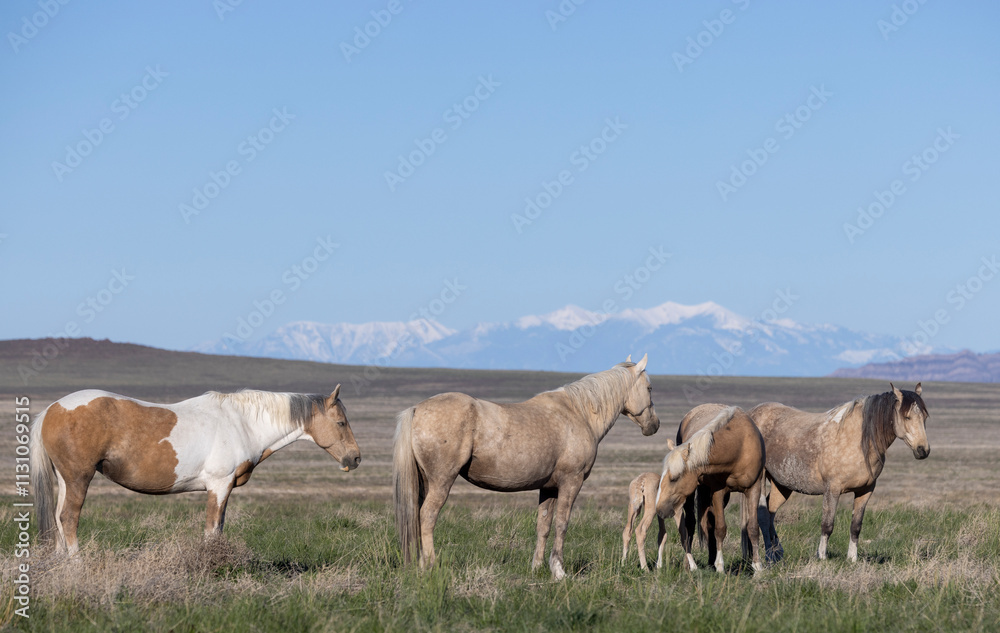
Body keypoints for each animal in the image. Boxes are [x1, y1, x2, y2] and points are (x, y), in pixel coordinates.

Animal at [30, 385, 361, 555]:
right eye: (341, 422)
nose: (355, 458)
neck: (241, 422)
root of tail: (51, 408)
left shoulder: (223, 488)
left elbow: (219, 528)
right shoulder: (219, 485)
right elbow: (212, 530)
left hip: (66, 479)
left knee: (58, 518)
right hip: (78, 478)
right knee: (68, 518)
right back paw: (77, 562)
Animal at [393, 355, 660, 580]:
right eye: (649, 388)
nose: (654, 425)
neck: (579, 413)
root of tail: (416, 409)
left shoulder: (549, 488)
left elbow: (543, 526)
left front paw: (537, 567)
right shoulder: (571, 483)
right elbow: (562, 524)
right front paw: (559, 571)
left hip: (424, 483)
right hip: (441, 482)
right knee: (427, 517)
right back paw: (430, 566)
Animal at [653, 404, 765, 573]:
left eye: (674, 478)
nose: (659, 509)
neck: (739, 446)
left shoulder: (754, 489)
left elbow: (753, 528)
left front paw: (758, 567)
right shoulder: (718, 492)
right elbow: (720, 528)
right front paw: (720, 566)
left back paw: (711, 561)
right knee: (690, 525)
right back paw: (690, 564)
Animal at [751, 383, 929, 562]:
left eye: (925, 417)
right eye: (907, 417)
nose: (923, 450)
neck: (858, 441)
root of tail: (753, 413)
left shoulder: (865, 491)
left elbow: (856, 526)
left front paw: (852, 558)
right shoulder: (832, 490)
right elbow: (827, 525)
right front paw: (822, 557)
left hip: (782, 485)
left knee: (771, 512)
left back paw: (776, 553)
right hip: (761, 479)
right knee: (763, 516)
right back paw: (769, 556)